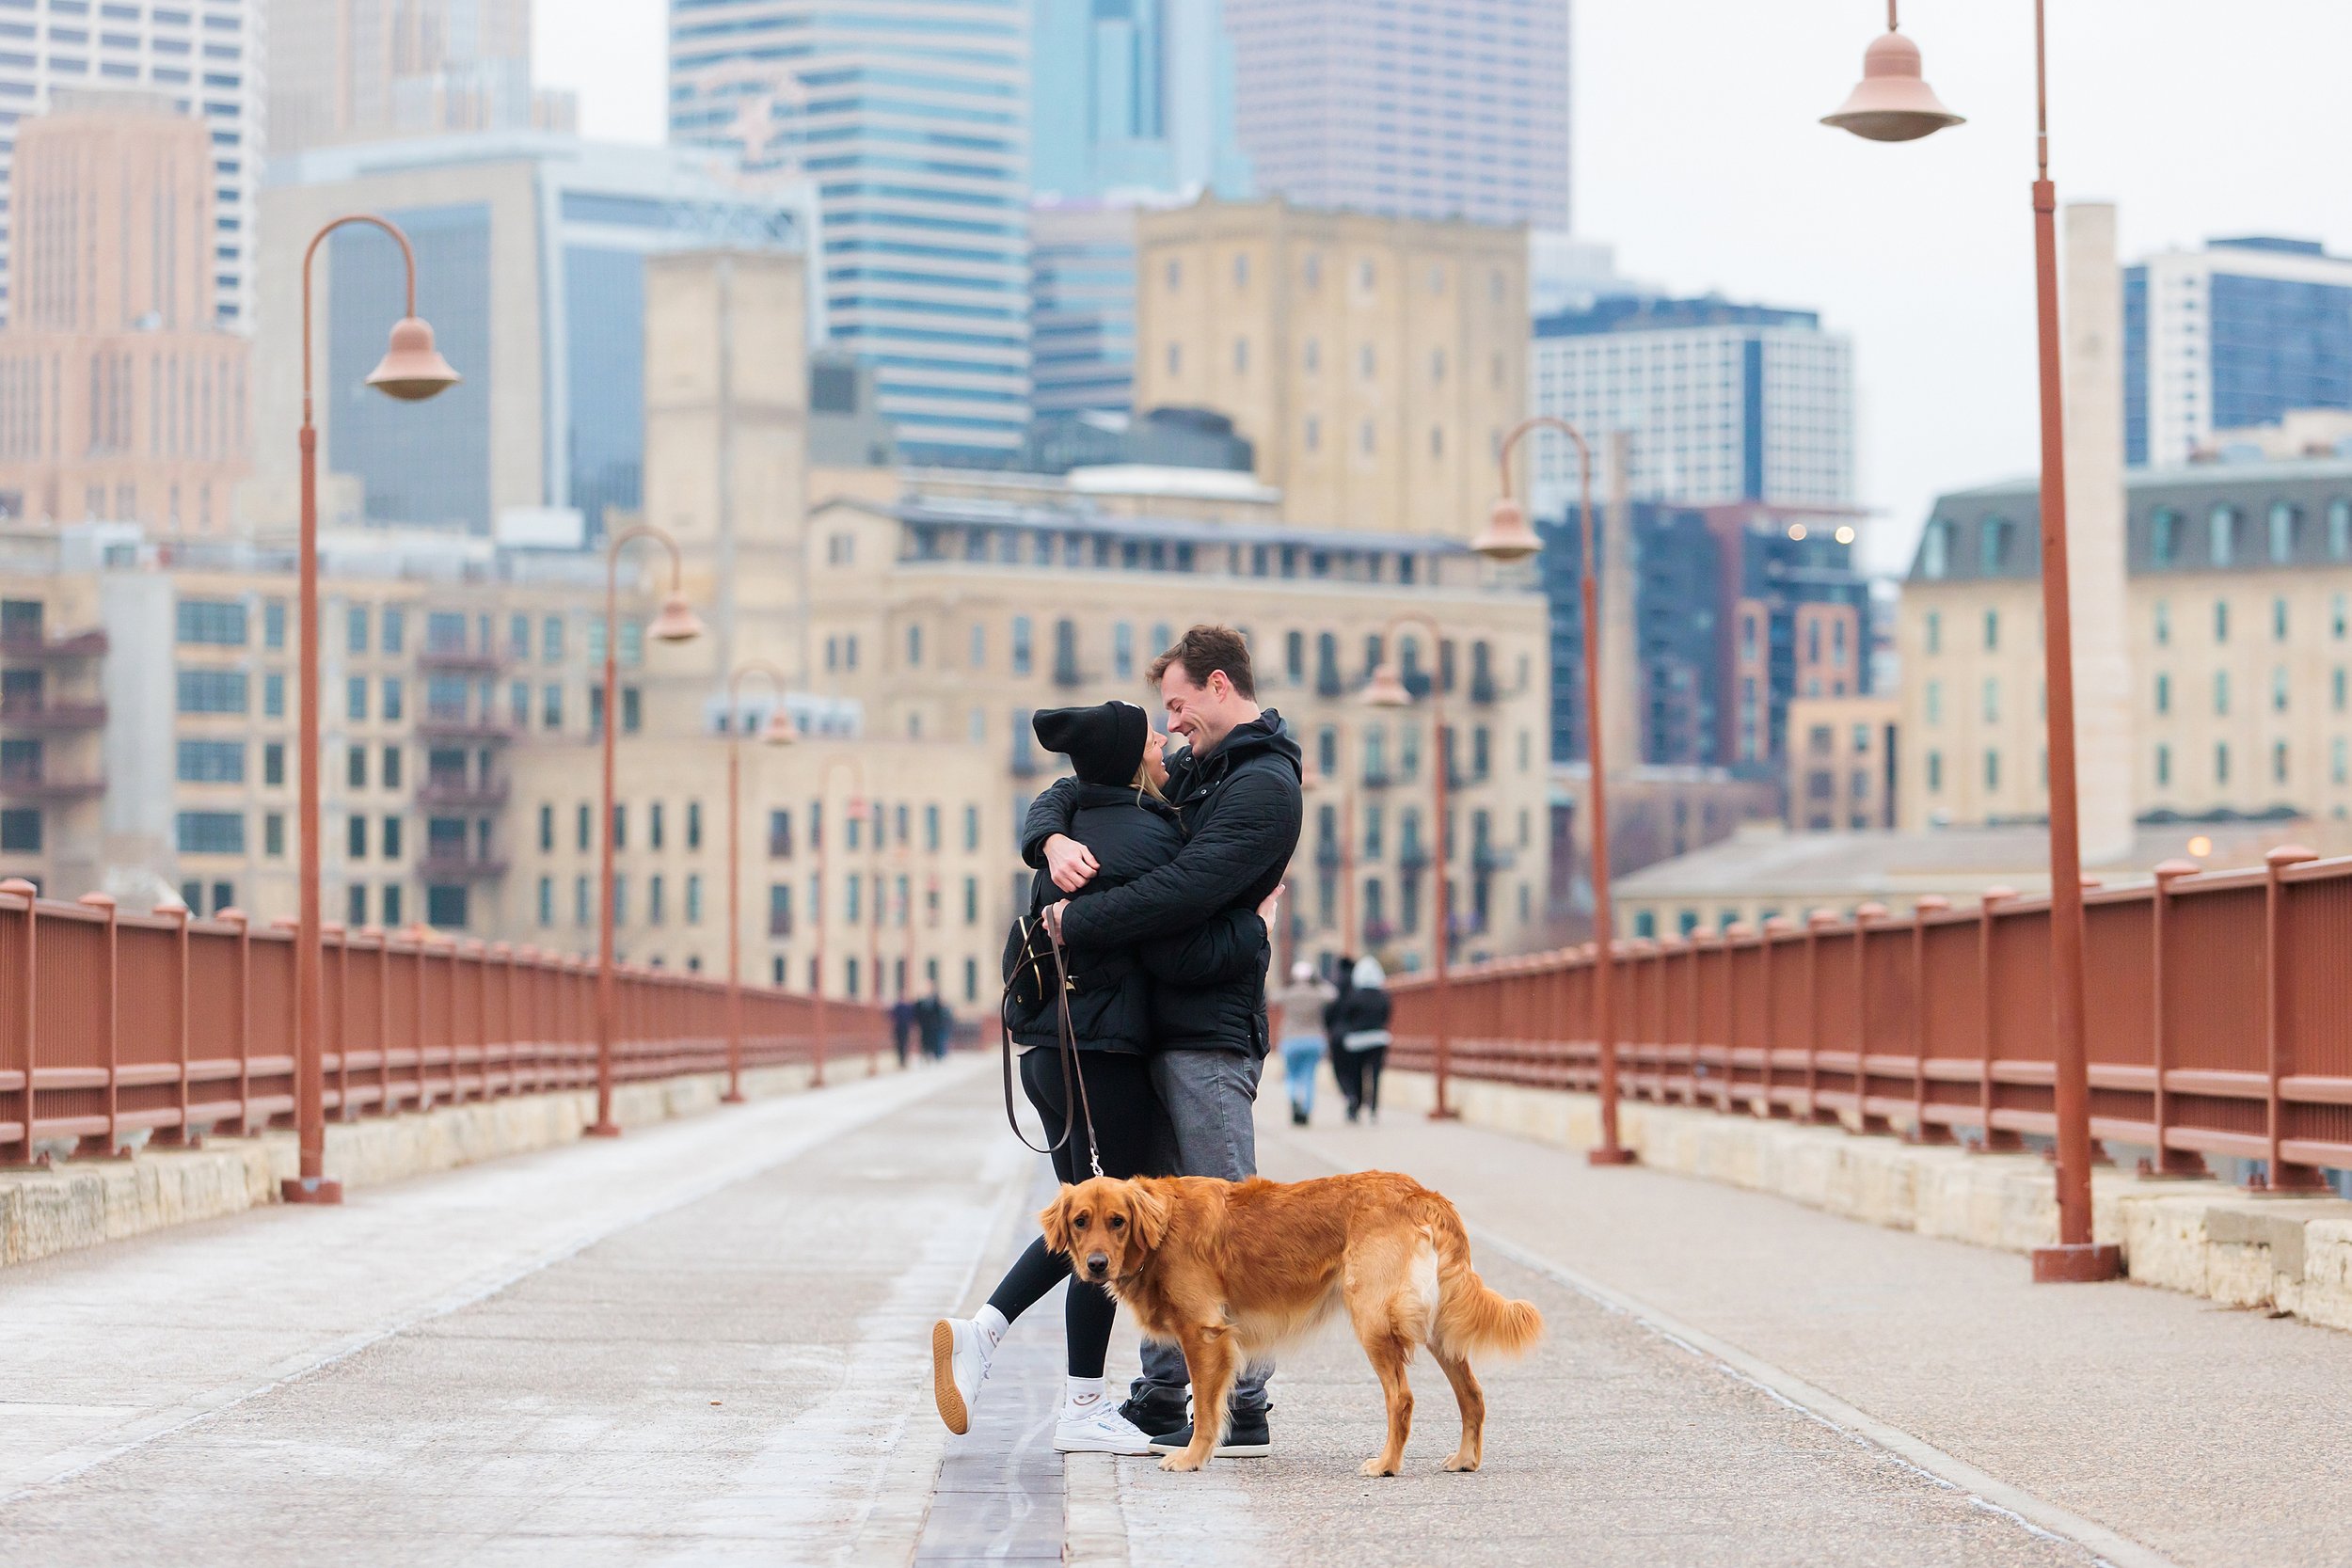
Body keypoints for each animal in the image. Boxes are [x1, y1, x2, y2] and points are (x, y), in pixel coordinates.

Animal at [1040, 1170, 1534, 1476]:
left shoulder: (1204, 1334)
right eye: (1081, 1221)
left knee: (1403, 1399)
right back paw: (1466, 1458)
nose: (1096, 1265)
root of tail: (1424, 1195)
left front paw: (1192, 1457)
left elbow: (1205, 1409)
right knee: (1472, 1394)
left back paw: (1387, 1465)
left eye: (1117, 1221)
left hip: (1373, 1319)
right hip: (1436, 1326)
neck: (1162, 1231)